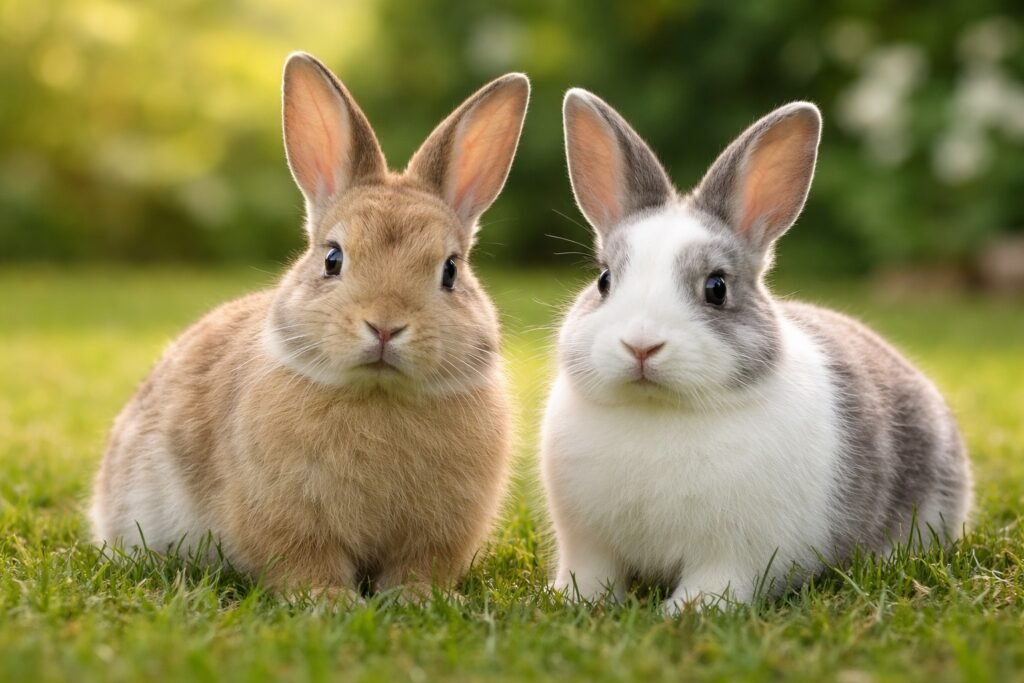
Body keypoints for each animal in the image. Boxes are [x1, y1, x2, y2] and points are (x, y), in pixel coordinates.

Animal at [90, 52, 530, 598]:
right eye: (333, 259)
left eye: (450, 270)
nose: (385, 326)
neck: (378, 394)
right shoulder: (286, 520)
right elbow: (307, 564)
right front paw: (330, 602)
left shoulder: (438, 533)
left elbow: (418, 568)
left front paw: (415, 599)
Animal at [541, 89, 973, 613]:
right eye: (604, 280)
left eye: (717, 287)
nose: (641, 345)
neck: (658, 411)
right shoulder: (588, 544)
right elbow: (592, 576)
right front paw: (570, 600)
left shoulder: (732, 556)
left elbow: (714, 583)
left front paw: (685, 612)